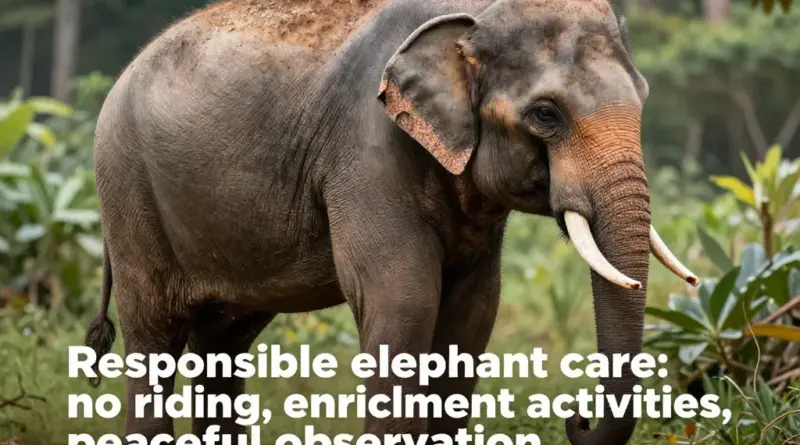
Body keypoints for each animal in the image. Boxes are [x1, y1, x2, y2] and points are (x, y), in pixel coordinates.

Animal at [84, 0, 699, 443]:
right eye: (545, 115)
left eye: (643, 99)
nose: (576, 417)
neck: (471, 16)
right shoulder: (366, 153)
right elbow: (404, 301)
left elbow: (472, 315)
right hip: (128, 189)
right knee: (155, 333)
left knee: (222, 342)